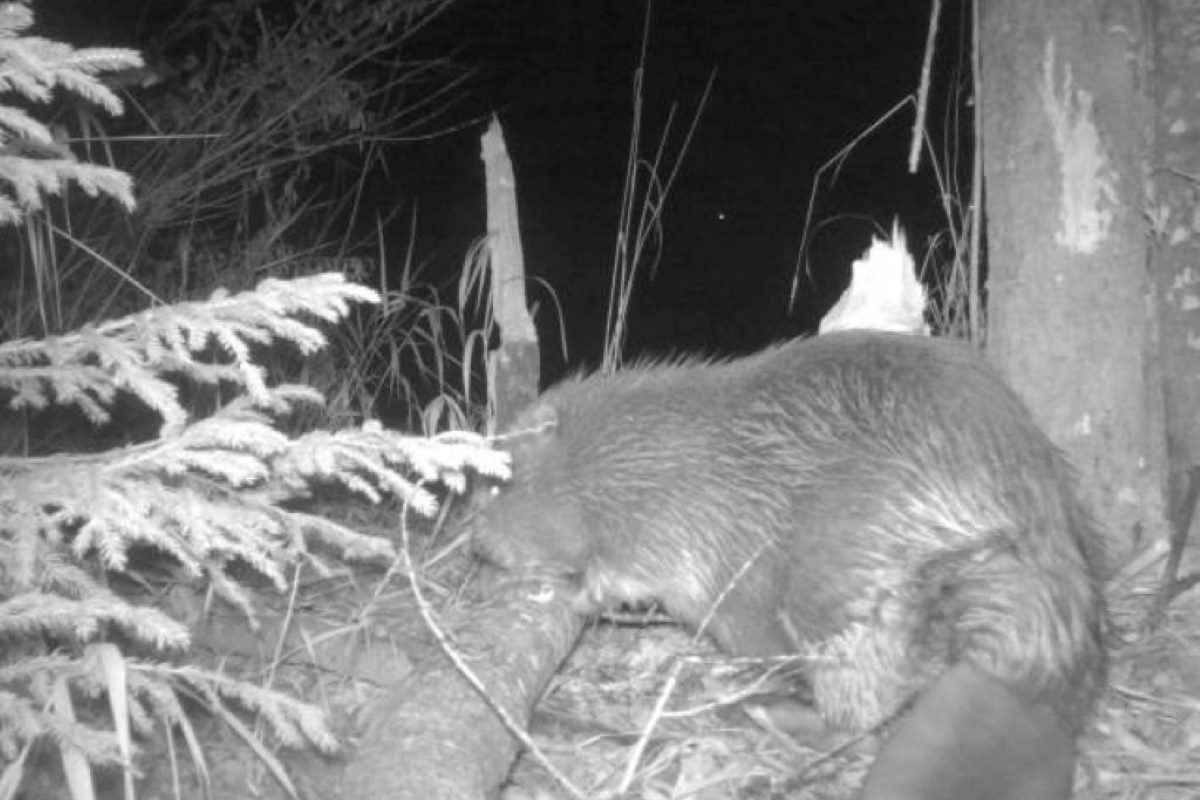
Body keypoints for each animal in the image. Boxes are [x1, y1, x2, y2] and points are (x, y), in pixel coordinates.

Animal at [468, 331, 1104, 800]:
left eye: (500, 483)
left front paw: (578, 590)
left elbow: (635, 568)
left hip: (836, 576)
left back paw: (766, 710)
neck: (621, 451)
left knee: (859, 704)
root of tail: (1023, 676)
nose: (477, 548)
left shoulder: (672, 510)